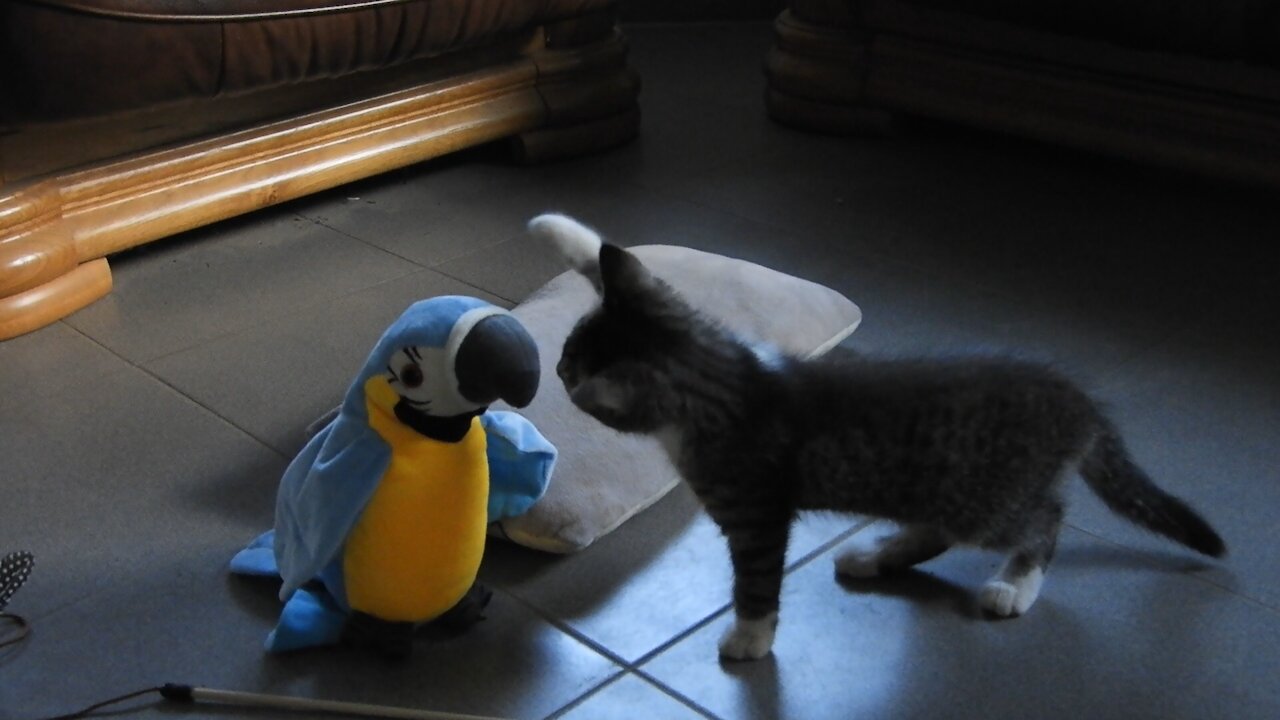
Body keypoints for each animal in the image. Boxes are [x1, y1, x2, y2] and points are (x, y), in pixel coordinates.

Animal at [527, 211, 1218, 655]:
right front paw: (559, 231)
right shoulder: (693, 314)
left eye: (572, 364)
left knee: (1044, 518)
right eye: (570, 346)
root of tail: (1077, 399)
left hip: (987, 498)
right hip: (941, 487)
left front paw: (750, 636)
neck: (718, 380)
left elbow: (756, 576)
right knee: (941, 528)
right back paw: (876, 555)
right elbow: (609, 260)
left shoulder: (756, 511)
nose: (556, 371)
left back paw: (1013, 584)